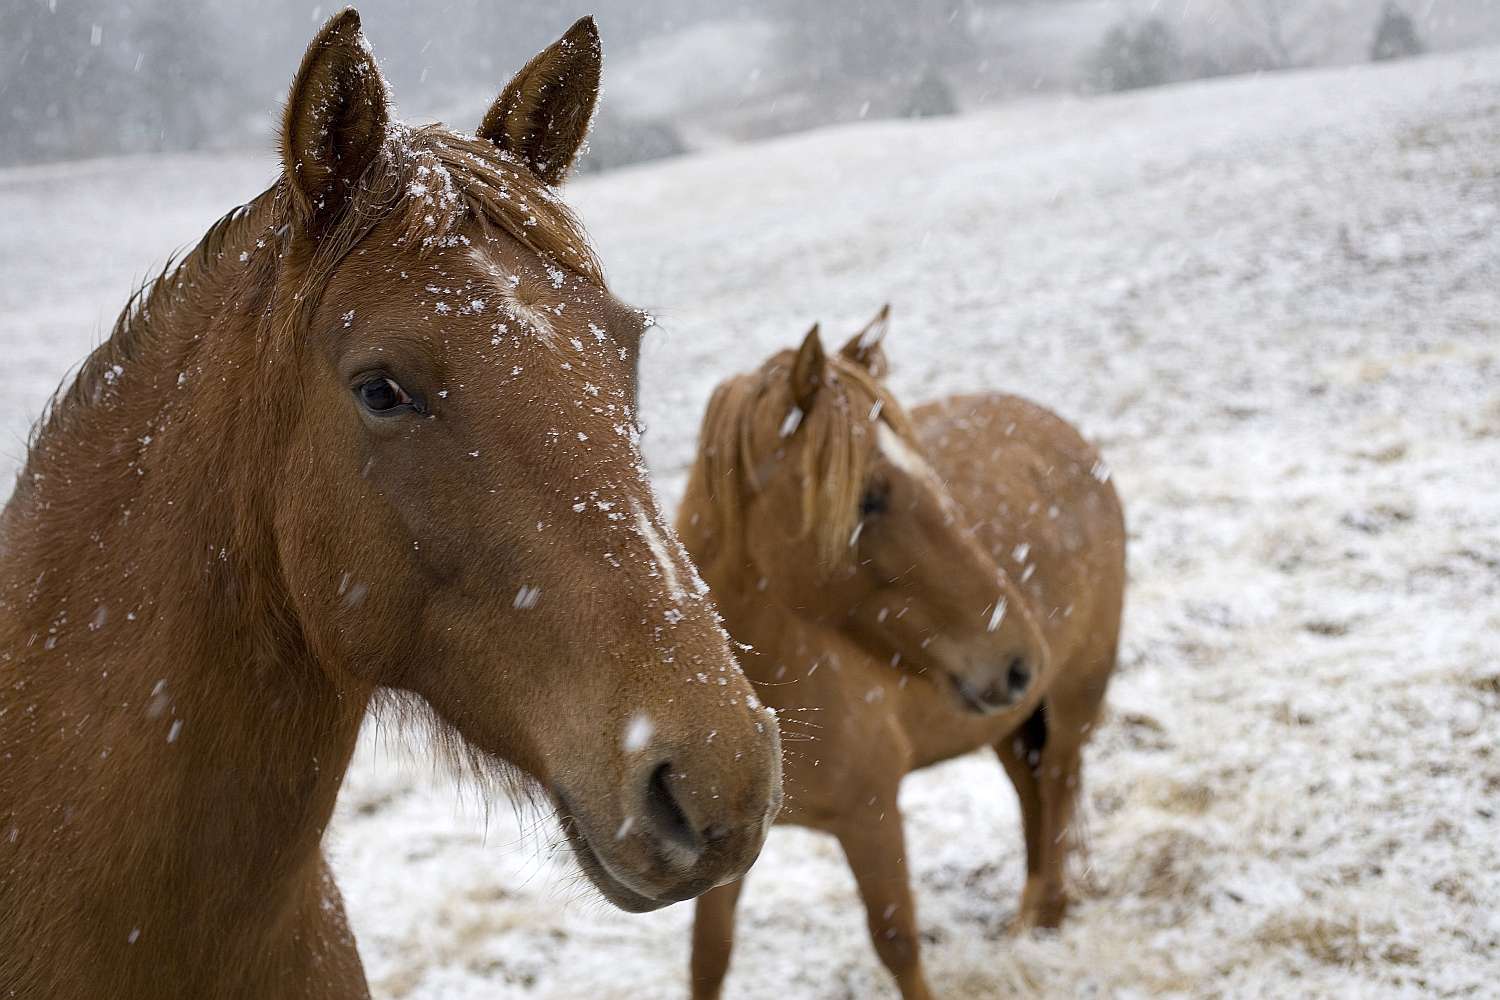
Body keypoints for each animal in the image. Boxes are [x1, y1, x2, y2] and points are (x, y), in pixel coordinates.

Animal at [681, 307, 1128, 1000]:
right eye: (868, 496)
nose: (1020, 659)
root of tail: (1069, 436)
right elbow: (710, 956)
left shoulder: (873, 815)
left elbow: (897, 941)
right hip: (1005, 724)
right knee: (1033, 799)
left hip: (1073, 699)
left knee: (1057, 790)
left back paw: (1045, 919)